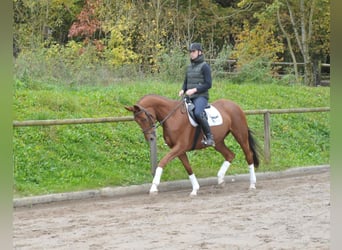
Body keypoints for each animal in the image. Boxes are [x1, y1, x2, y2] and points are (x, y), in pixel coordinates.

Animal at [125, 94, 260, 195]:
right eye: (136, 121)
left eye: (143, 118)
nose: (150, 138)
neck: (173, 117)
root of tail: (234, 105)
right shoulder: (179, 150)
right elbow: (188, 167)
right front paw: (195, 189)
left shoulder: (180, 147)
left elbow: (162, 161)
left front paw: (154, 186)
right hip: (218, 142)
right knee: (230, 155)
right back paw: (220, 179)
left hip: (240, 135)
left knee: (248, 155)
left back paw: (252, 184)